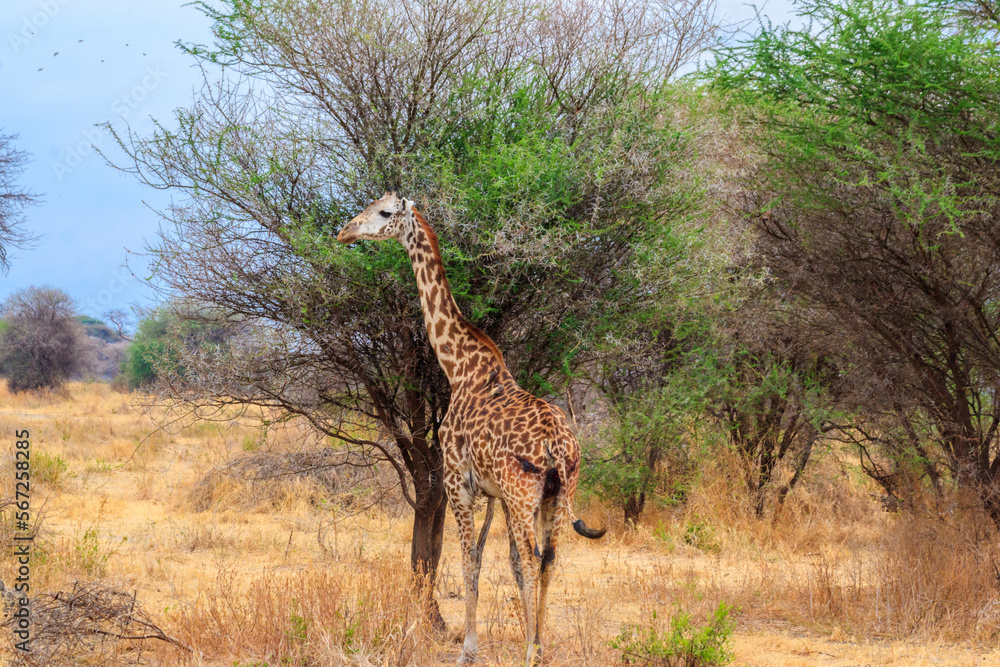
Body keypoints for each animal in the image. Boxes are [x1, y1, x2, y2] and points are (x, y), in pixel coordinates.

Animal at [337, 192, 606, 665]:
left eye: (384, 213)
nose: (344, 231)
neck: (458, 365)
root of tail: (559, 445)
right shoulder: (495, 494)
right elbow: (502, 562)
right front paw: (516, 638)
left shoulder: (457, 482)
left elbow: (470, 562)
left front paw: (468, 649)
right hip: (556, 494)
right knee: (549, 559)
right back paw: (539, 648)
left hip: (524, 494)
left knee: (534, 558)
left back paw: (530, 653)